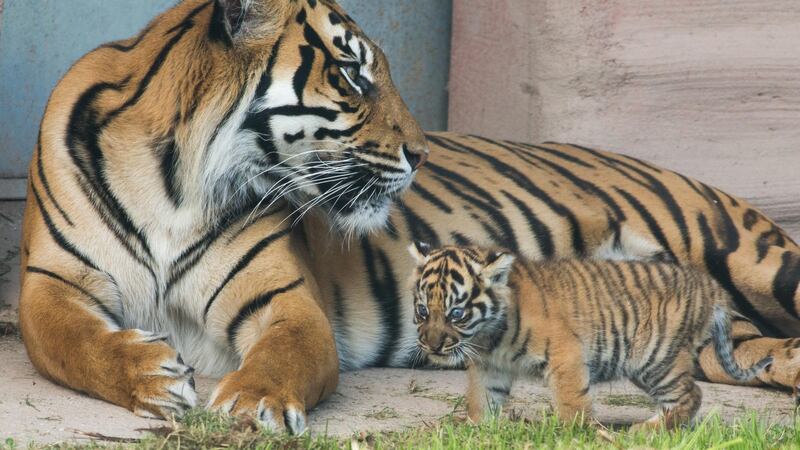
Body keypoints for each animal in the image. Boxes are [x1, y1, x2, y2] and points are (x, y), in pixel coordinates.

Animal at [407, 242, 773, 429]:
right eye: (423, 311)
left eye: (456, 313)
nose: (432, 345)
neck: (487, 336)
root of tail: (710, 285)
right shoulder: (490, 367)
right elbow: (482, 400)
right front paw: (475, 427)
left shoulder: (566, 354)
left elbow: (572, 401)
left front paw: (575, 433)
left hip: (657, 359)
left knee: (690, 395)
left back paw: (646, 432)